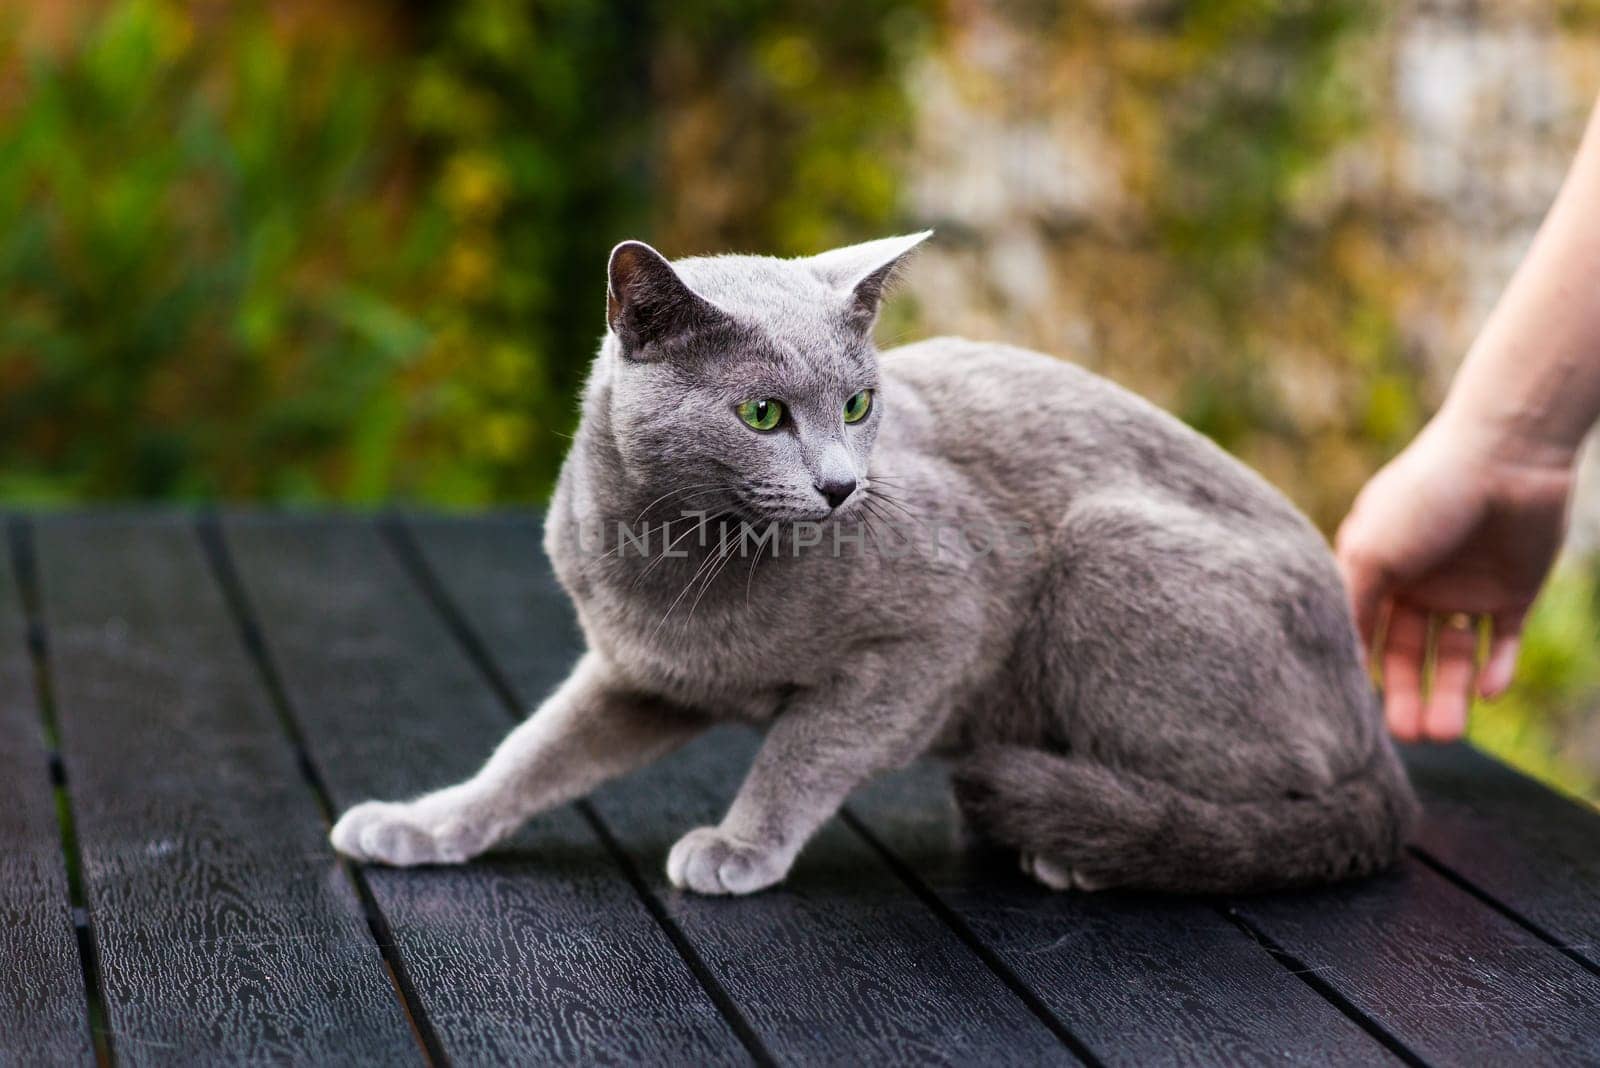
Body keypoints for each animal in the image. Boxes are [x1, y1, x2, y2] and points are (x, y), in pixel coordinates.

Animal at [328, 231, 1414, 895]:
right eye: (762, 413)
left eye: (856, 404)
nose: (843, 487)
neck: (675, 563)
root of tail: (1373, 724)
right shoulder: (640, 673)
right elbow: (531, 751)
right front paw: (422, 824)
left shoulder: (934, 636)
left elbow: (804, 749)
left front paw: (737, 845)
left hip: (1107, 551)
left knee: (1282, 792)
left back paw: (1092, 847)